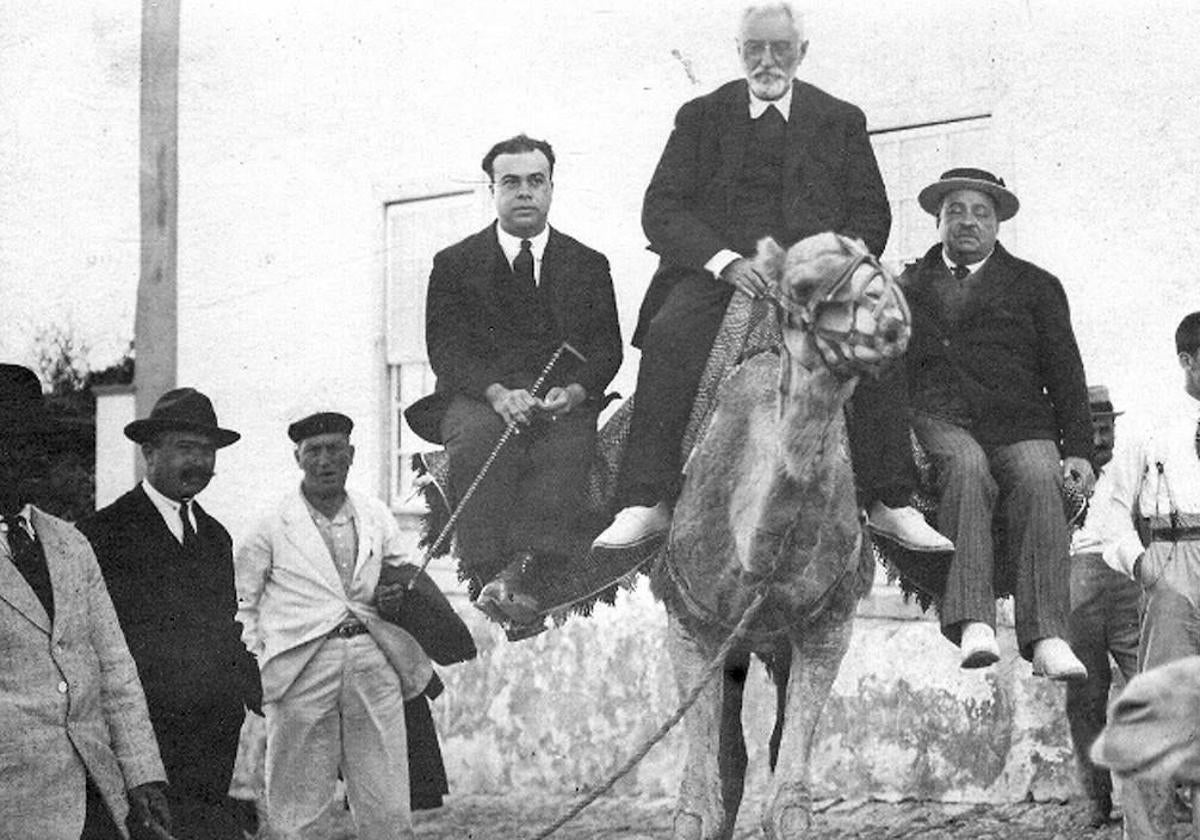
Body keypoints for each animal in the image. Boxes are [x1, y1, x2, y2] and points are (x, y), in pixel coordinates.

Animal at [657, 231, 907, 840]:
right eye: (804, 285)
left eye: (870, 261)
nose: (890, 320)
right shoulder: (690, 624)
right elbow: (698, 806)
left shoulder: (829, 623)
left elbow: (789, 800)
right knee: (729, 762)